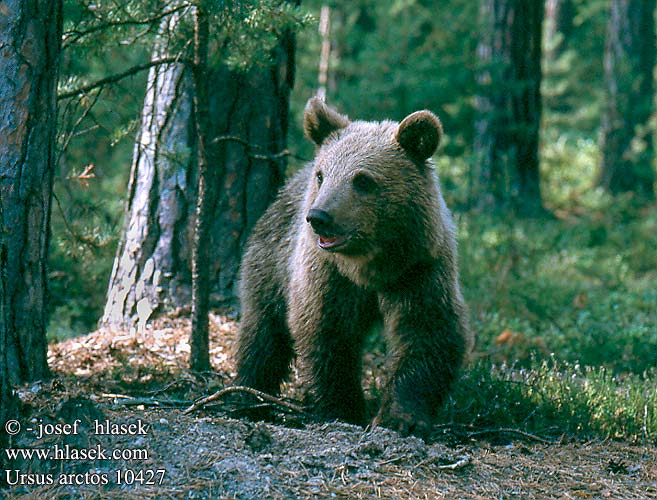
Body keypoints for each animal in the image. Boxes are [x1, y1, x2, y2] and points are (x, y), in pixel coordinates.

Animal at [236, 95, 472, 436]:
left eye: (362, 180)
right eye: (322, 175)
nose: (319, 217)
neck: (370, 266)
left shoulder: (419, 269)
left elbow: (427, 331)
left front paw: (401, 417)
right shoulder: (328, 275)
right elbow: (326, 332)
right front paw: (343, 408)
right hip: (270, 262)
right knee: (263, 332)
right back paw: (248, 397)